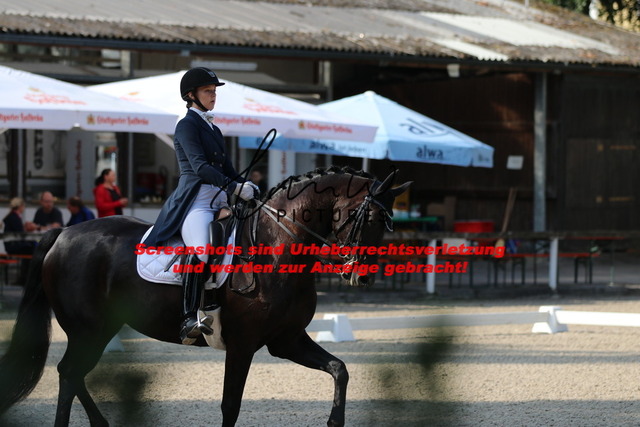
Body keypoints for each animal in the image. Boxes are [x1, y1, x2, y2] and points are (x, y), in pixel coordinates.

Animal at [0, 166, 410, 426]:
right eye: (369, 218)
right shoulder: (243, 345)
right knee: (70, 374)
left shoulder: (286, 340)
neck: (277, 247)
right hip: (88, 330)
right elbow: (231, 406)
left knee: (73, 375)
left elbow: (339, 369)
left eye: (389, 222)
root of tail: (64, 234)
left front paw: (334, 420)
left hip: (101, 329)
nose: (361, 276)